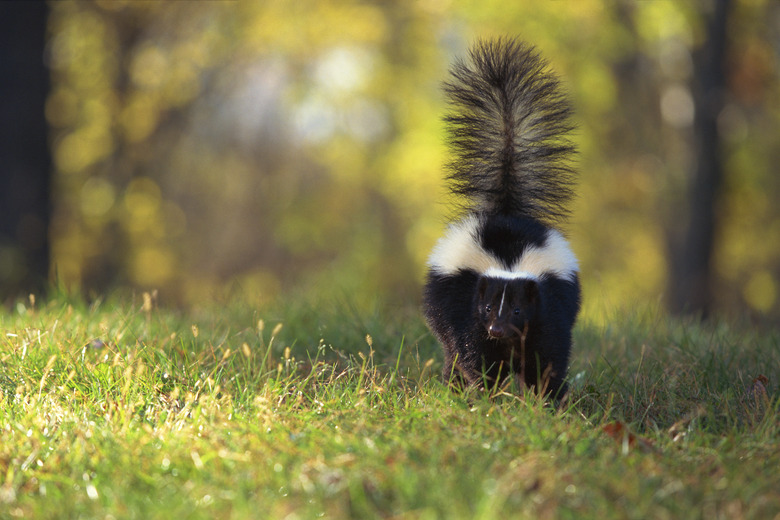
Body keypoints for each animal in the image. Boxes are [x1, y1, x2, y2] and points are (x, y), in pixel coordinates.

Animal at [424, 38, 580, 398]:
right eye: (487, 308)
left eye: (518, 309)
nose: (496, 328)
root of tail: (505, 211)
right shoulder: (465, 305)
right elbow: (471, 352)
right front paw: (487, 392)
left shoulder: (550, 307)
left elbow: (547, 356)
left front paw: (546, 398)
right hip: (441, 302)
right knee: (450, 351)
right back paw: (453, 386)